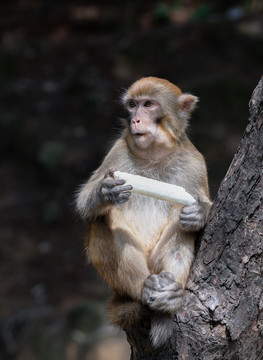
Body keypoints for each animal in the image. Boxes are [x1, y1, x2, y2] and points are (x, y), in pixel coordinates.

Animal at [76, 76, 212, 348]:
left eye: (148, 104)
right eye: (132, 105)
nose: (135, 119)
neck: (153, 155)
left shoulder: (195, 163)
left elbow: (198, 207)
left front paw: (199, 213)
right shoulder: (116, 153)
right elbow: (85, 204)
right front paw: (106, 192)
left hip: (157, 262)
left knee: (179, 220)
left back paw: (169, 298)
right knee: (104, 219)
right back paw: (144, 290)